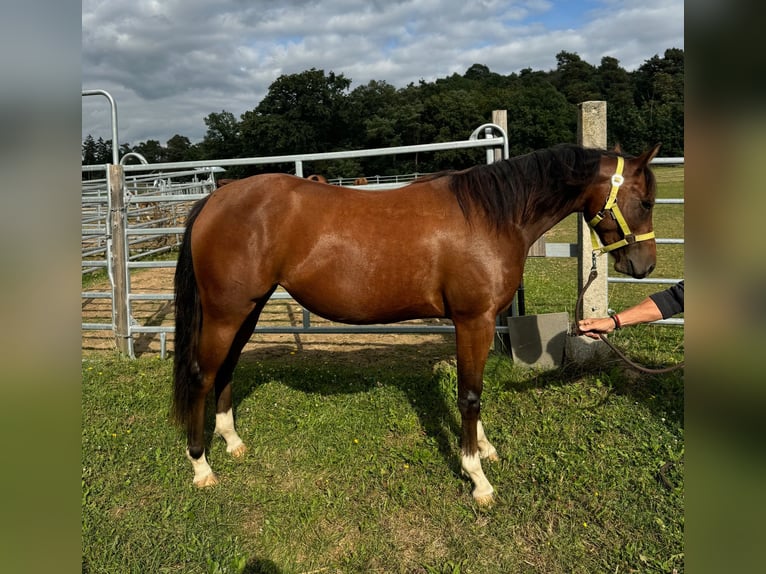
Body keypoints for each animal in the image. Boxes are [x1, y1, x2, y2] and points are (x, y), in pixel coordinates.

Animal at [174, 144, 660, 508]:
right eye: (646, 201)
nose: (644, 266)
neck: (490, 217)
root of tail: (215, 199)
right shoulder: (473, 321)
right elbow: (469, 396)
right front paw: (477, 477)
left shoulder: (479, 324)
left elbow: (475, 391)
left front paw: (484, 450)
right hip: (227, 311)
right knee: (201, 374)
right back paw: (201, 466)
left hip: (248, 309)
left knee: (226, 369)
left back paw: (232, 442)